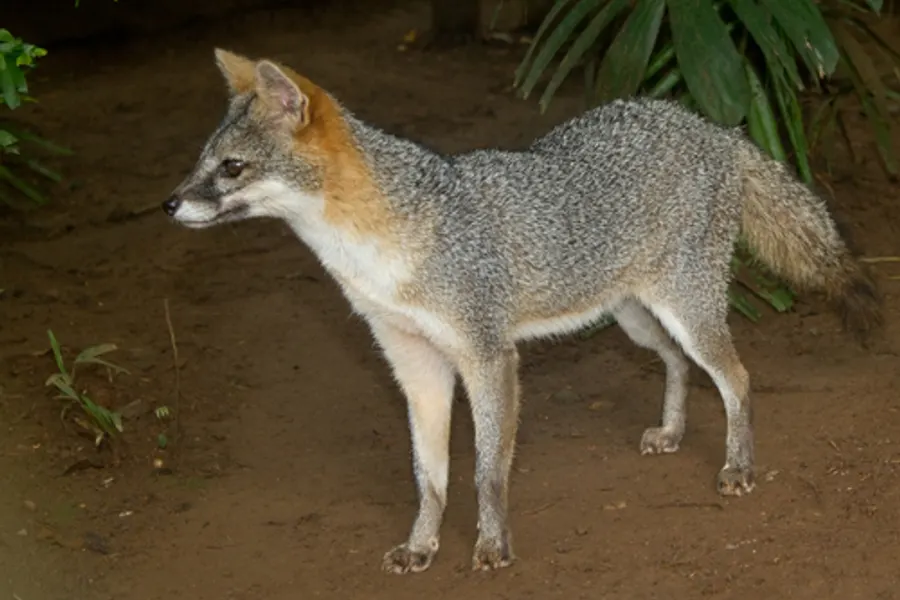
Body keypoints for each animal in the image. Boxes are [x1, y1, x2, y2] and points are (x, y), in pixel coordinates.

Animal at [163, 49, 883, 574]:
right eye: (200, 163)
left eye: (232, 168)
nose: (168, 205)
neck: (378, 249)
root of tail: (708, 125)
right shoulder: (415, 365)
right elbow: (430, 476)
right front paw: (422, 546)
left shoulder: (487, 356)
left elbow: (485, 473)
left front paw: (491, 547)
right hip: (635, 318)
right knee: (680, 364)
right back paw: (673, 432)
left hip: (686, 309)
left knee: (736, 377)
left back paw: (738, 467)